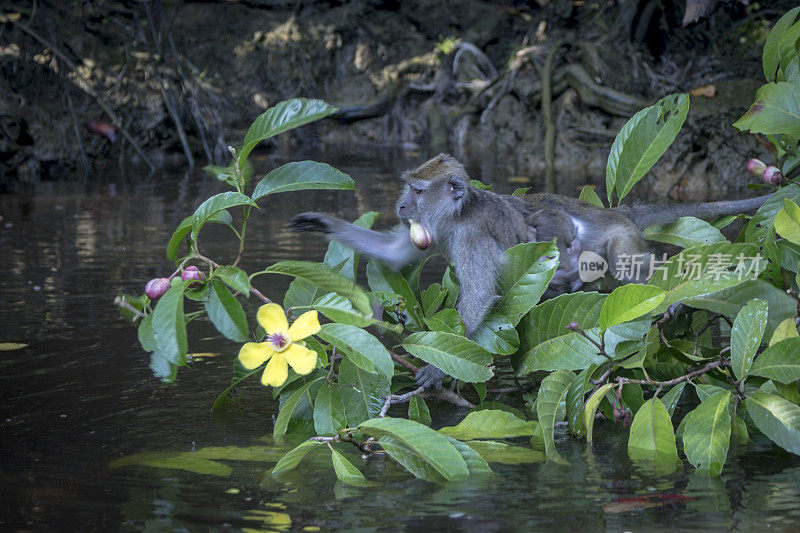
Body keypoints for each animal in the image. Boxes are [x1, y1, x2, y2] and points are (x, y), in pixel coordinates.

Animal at [292, 153, 768, 386]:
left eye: (417, 190)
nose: (402, 206)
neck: (459, 213)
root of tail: (615, 213)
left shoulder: (471, 237)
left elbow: (479, 296)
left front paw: (441, 367)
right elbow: (393, 255)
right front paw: (321, 222)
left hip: (622, 239)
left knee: (627, 266)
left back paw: (669, 298)